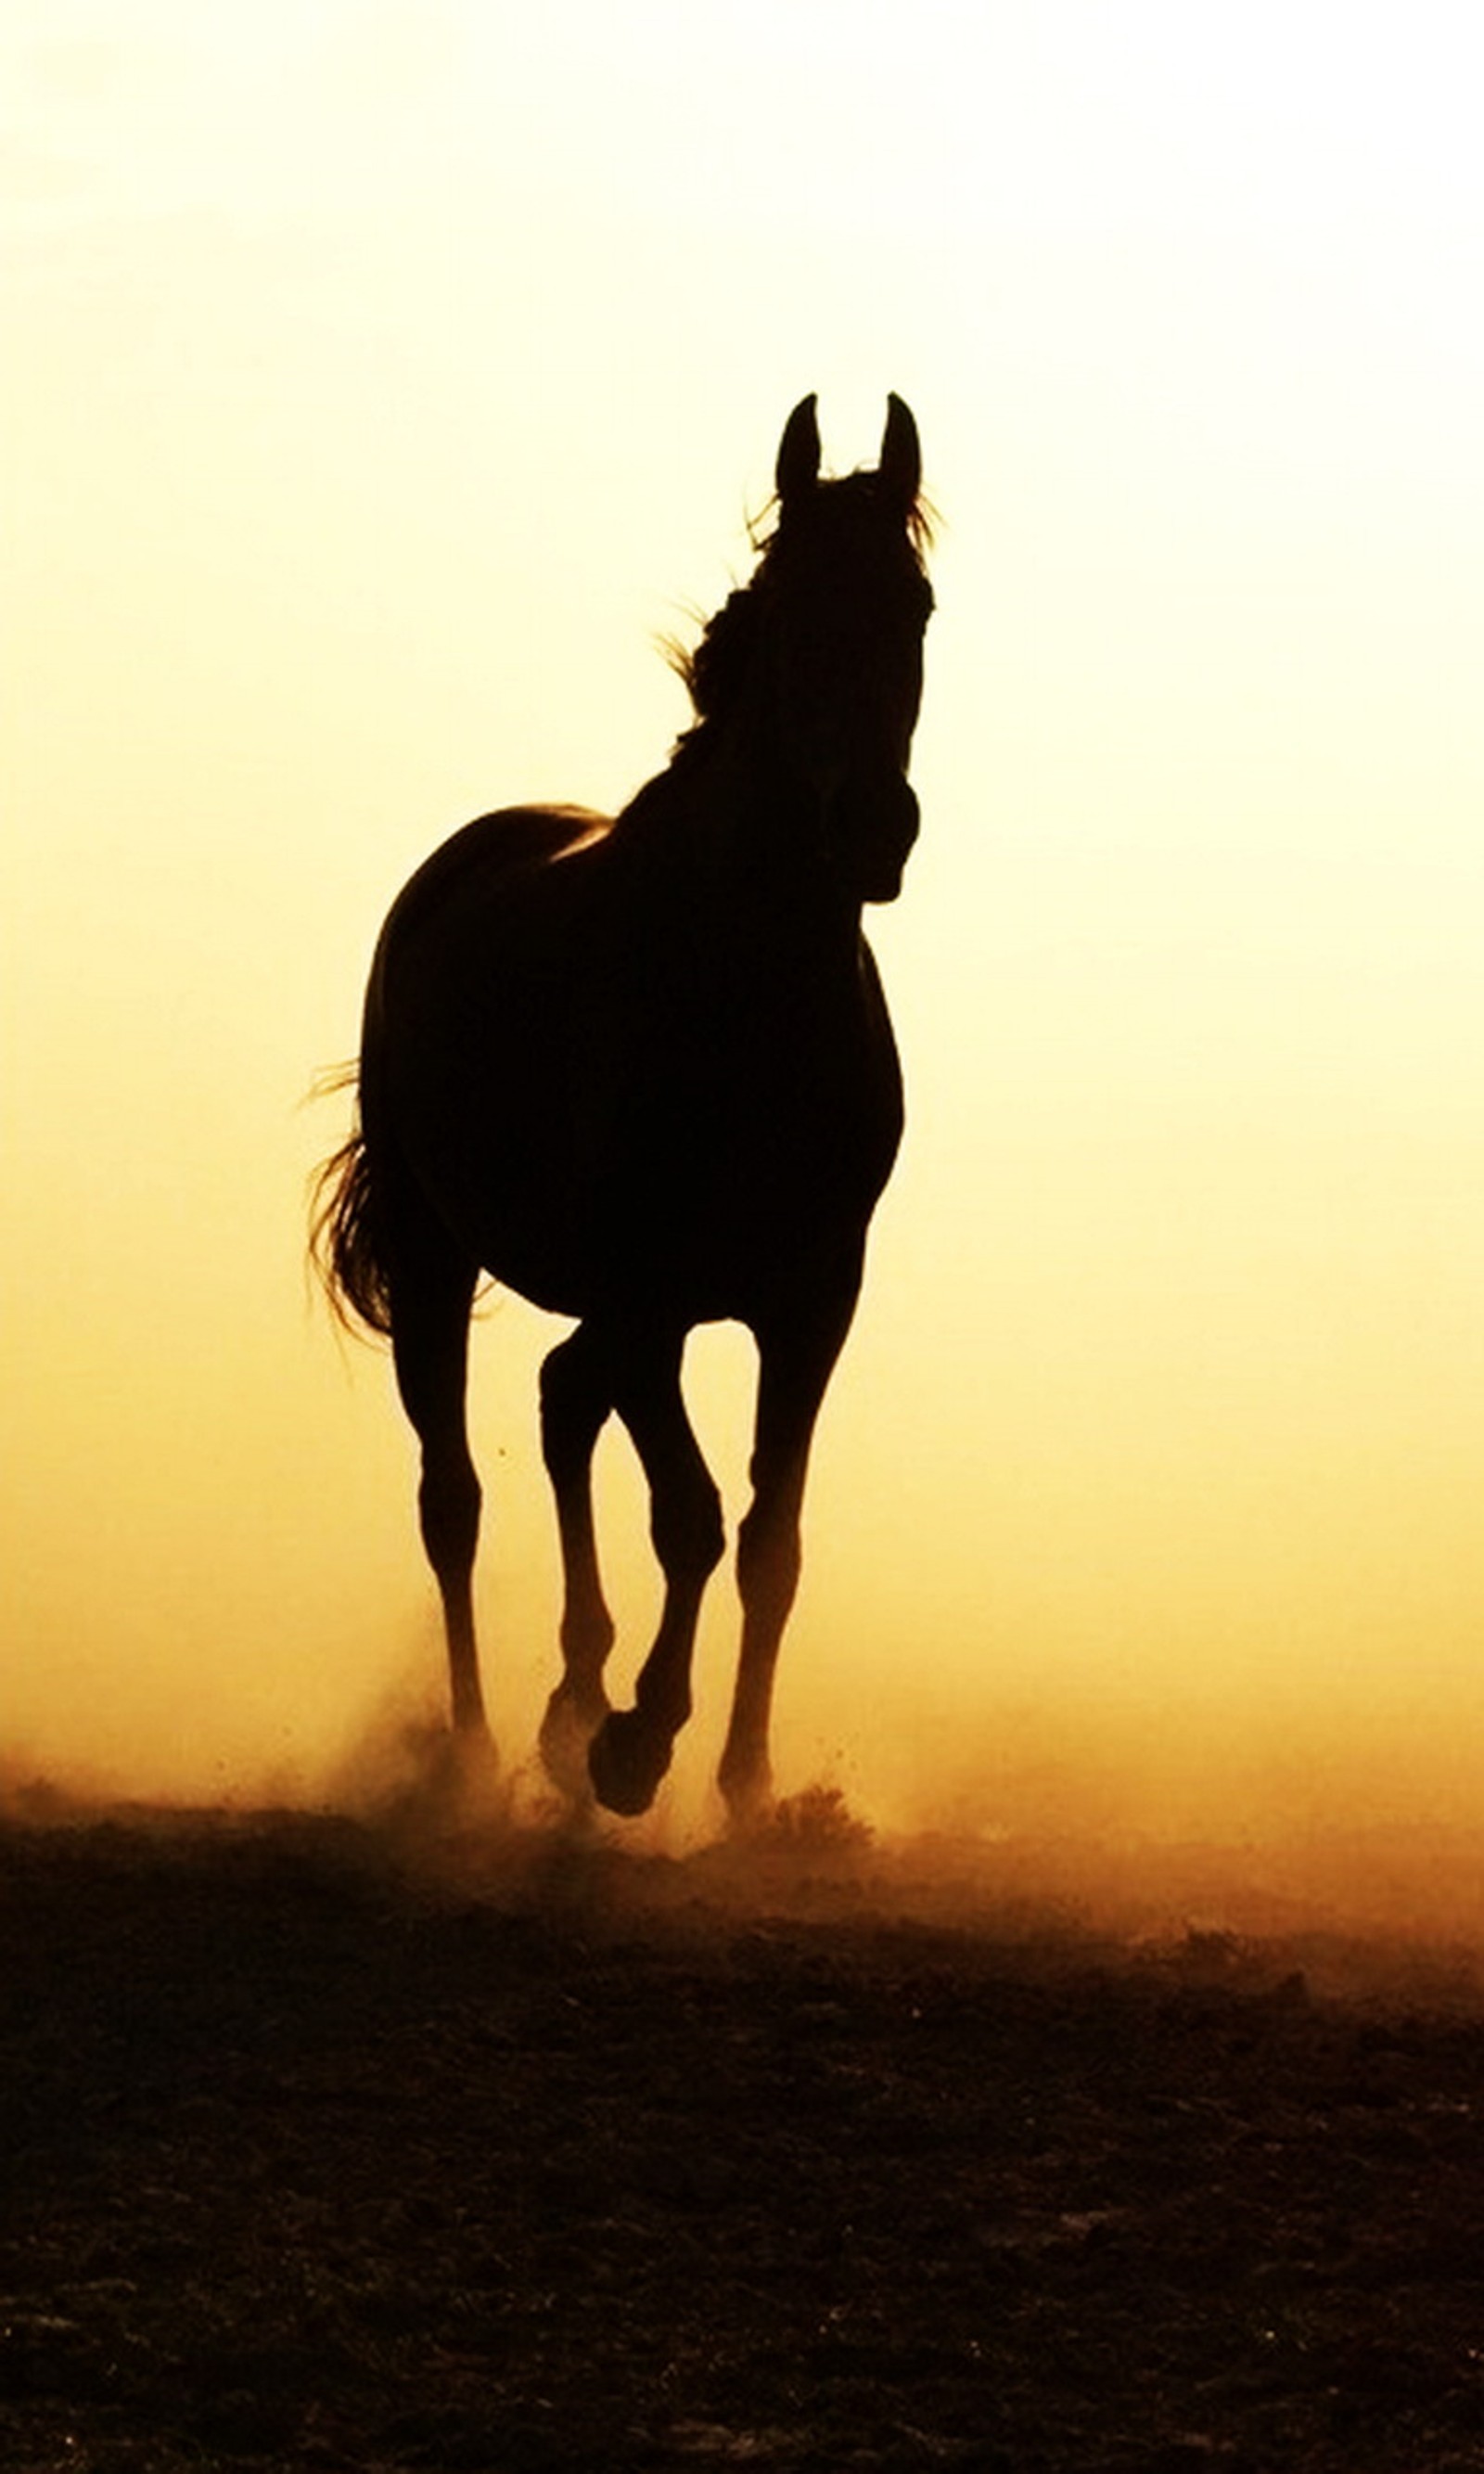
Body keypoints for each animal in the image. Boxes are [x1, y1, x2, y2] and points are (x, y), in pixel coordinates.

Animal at [316, 391, 935, 1820]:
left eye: (918, 602)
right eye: (788, 601)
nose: (874, 828)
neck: (745, 991)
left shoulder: (814, 1298)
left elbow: (771, 1535)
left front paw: (745, 1778)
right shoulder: (652, 1294)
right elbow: (691, 1515)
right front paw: (636, 1741)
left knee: (560, 1399)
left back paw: (564, 1702)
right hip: (435, 1257)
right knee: (454, 1495)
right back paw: (480, 1751)